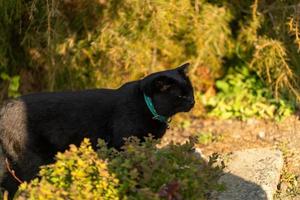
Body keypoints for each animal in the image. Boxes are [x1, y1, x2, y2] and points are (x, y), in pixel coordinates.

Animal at [0, 62, 195, 197]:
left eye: (191, 92)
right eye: (180, 96)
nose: (193, 102)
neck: (146, 105)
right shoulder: (122, 147)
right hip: (32, 161)